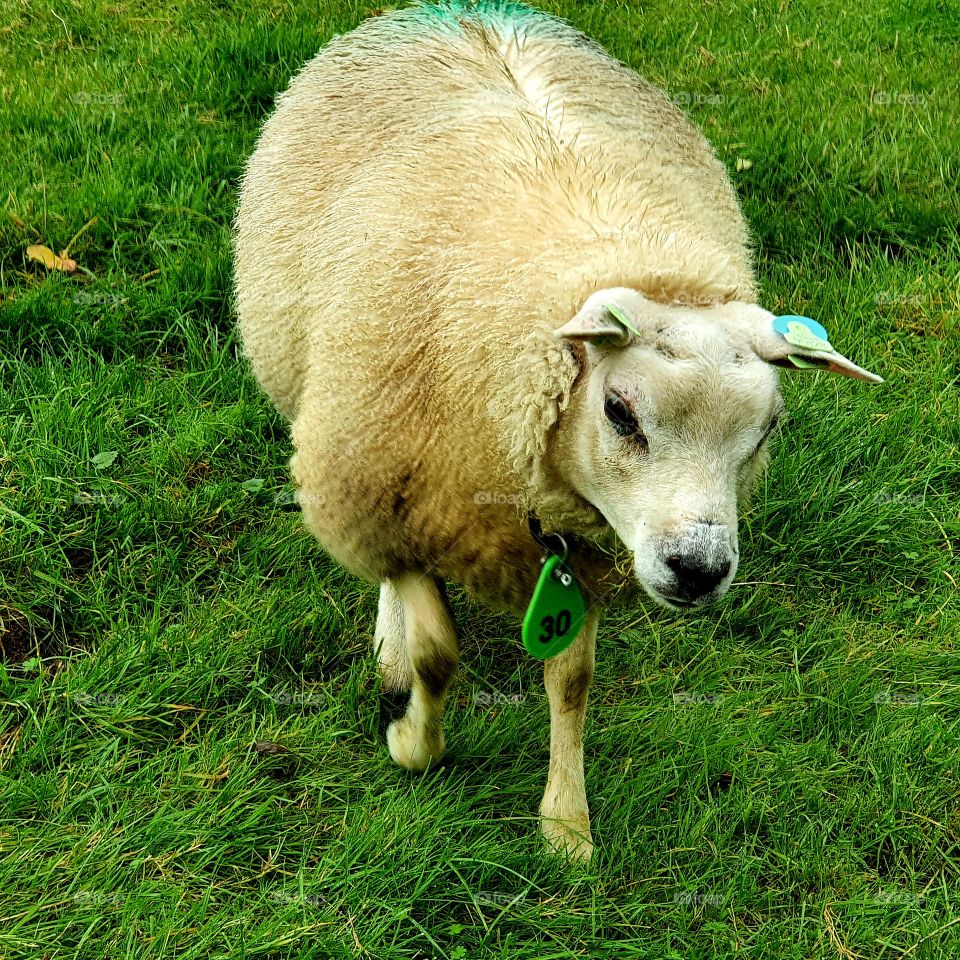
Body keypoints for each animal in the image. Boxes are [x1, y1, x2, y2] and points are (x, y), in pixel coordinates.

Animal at [233, 0, 881, 860]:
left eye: (769, 428)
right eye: (620, 412)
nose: (699, 570)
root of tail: (461, 10)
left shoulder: (585, 554)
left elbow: (572, 680)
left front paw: (566, 826)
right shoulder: (393, 489)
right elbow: (436, 651)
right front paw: (412, 739)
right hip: (337, 432)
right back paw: (389, 645)